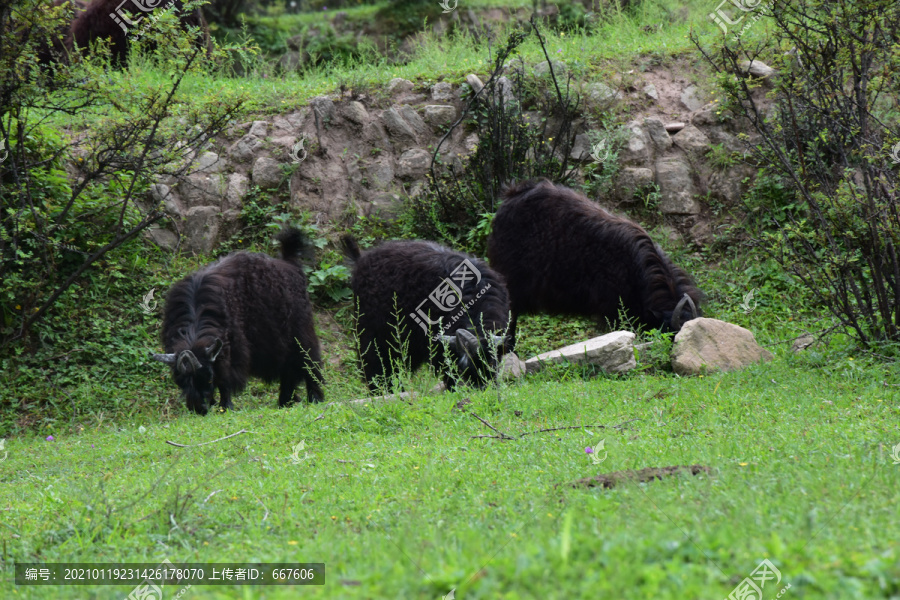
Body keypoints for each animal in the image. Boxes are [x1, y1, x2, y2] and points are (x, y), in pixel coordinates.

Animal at [151, 227, 324, 414]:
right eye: (181, 381)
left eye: (209, 378)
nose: (200, 409)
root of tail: (291, 265)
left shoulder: (232, 350)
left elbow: (225, 379)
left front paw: (226, 406)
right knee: (289, 371)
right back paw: (285, 401)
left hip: (300, 332)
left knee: (310, 361)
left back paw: (315, 398)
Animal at [342, 237, 510, 392]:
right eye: (460, 366)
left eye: (490, 362)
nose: (481, 388)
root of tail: (361, 259)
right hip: (372, 332)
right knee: (375, 363)